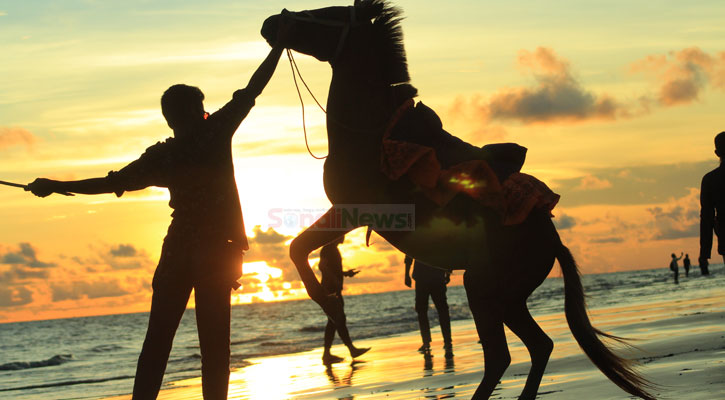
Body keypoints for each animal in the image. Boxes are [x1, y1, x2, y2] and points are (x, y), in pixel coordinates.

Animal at [262, 1, 656, 398]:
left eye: (329, 13)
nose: (272, 22)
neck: (371, 135)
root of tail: (553, 242)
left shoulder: (351, 212)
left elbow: (297, 248)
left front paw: (326, 299)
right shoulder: (349, 214)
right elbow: (298, 248)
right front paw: (327, 299)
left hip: (484, 289)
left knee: (502, 356)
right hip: (507, 299)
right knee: (538, 346)